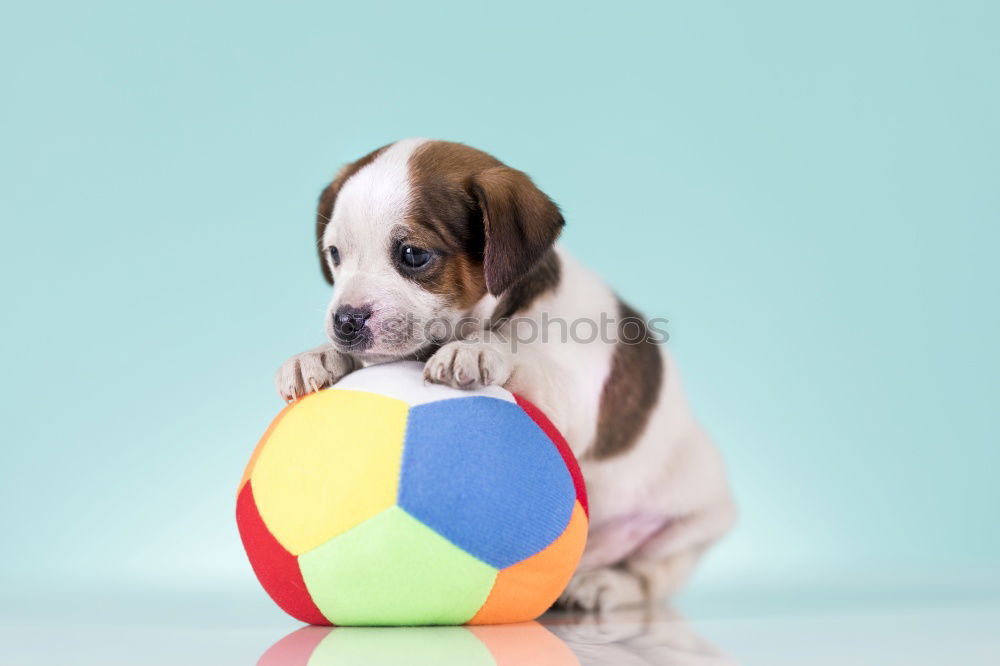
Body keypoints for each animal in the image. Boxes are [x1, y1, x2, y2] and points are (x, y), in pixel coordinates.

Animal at [274, 137, 736, 608]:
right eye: (335, 255)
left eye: (413, 255)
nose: (345, 322)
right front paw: (319, 356)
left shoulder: (571, 397)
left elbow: (516, 350)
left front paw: (476, 350)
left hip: (687, 526)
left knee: (653, 575)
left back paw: (605, 583)